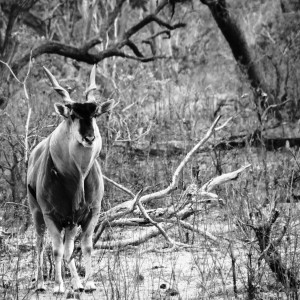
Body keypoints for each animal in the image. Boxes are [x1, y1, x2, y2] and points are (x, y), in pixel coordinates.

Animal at [27, 65, 113, 292]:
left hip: (71, 224)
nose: (89, 137)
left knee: (68, 249)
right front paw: (58, 286)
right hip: (37, 212)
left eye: (95, 114)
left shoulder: (90, 213)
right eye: (72, 115)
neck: (76, 177)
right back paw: (41, 283)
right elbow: (55, 249)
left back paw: (77, 283)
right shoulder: (50, 215)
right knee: (40, 244)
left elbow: (86, 246)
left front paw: (89, 283)